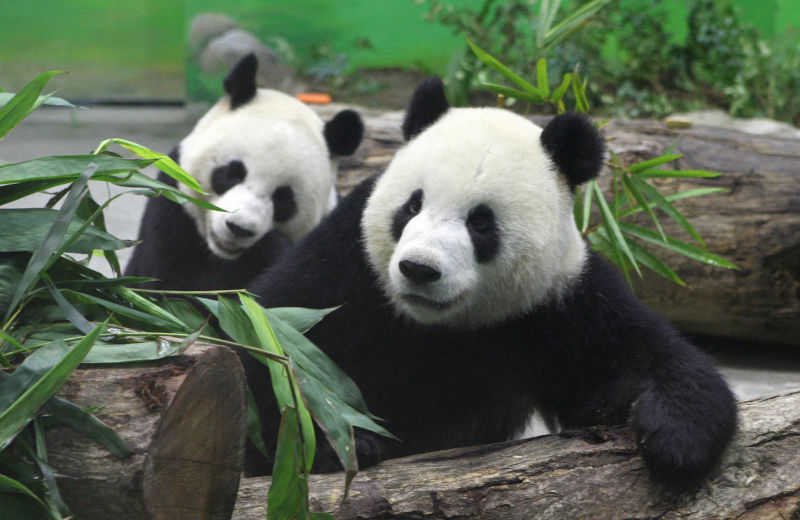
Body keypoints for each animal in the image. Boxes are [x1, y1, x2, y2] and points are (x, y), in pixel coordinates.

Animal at [124, 53, 363, 290]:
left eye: (283, 198)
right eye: (232, 173)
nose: (239, 229)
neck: (223, 256)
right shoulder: (171, 213)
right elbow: (175, 285)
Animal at [243, 77, 737, 486]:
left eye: (480, 223)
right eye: (412, 205)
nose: (419, 269)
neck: (438, 326)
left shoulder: (560, 300)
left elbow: (651, 360)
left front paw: (673, 439)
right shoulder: (348, 265)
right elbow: (272, 345)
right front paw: (335, 439)